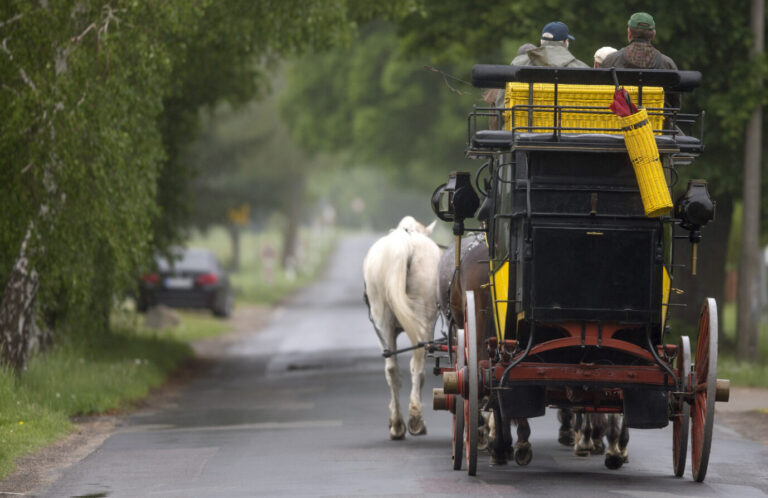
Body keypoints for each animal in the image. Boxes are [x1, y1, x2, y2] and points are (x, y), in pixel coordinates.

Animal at [364, 215, 440, 440]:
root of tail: (403, 245)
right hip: (423, 318)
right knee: (416, 365)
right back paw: (414, 421)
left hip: (382, 321)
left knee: (391, 368)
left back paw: (398, 424)